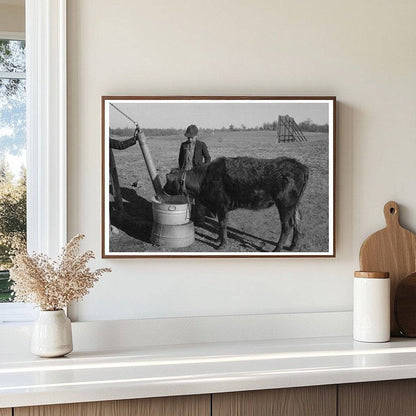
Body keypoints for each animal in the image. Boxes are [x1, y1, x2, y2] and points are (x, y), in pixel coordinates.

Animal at [163, 156, 308, 252]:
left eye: (168, 181)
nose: (163, 189)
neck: (204, 179)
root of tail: (300, 166)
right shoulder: (220, 208)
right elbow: (221, 225)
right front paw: (218, 239)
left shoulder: (221, 206)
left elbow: (222, 224)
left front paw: (222, 244)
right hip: (295, 205)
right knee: (297, 222)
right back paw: (293, 246)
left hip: (285, 204)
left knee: (287, 226)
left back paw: (277, 249)